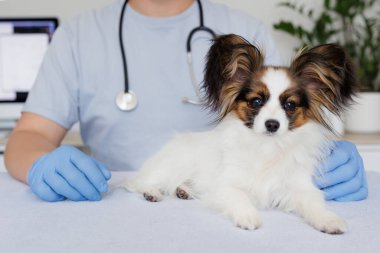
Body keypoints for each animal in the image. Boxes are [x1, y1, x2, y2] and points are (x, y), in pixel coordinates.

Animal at [123, 34, 358, 234]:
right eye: (256, 101)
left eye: (290, 105)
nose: (272, 124)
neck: (267, 147)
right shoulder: (226, 185)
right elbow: (238, 195)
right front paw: (248, 216)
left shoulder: (298, 185)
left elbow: (314, 202)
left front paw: (328, 219)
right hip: (171, 166)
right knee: (136, 182)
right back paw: (151, 191)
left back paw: (184, 190)